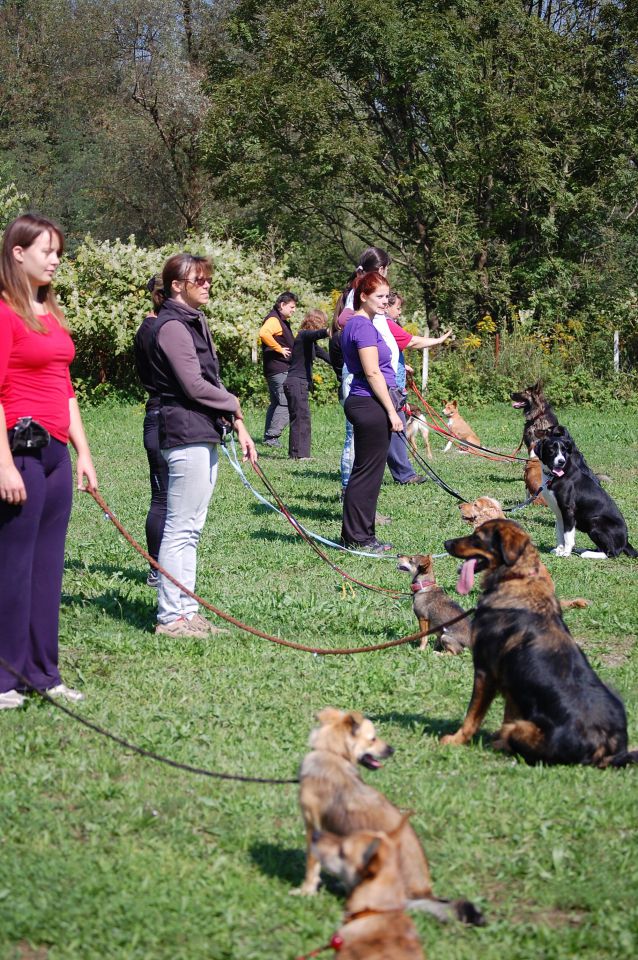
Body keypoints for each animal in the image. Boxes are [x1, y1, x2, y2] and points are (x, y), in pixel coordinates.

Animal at [296, 708, 484, 928]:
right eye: (373, 739)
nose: (392, 750)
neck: (331, 754)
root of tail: (424, 894)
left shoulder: (313, 826)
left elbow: (311, 866)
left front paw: (305, 891)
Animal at [442, 520, 636, 768]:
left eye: (477, 537)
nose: (446, 543)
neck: (516, 577)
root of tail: (607, 750)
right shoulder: (512, 682)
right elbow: (507, 713)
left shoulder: (485, 672)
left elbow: (472, 716)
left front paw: (455, 740)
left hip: (523, 727)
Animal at [536, 430, 636, 564]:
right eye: (551, 450)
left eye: (564, 450)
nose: (561, 461)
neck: (554, 476)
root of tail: (625, 542)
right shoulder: (559, 513)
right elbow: (560, 533)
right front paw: (559, 550)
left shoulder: (568, 511)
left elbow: (568, 535)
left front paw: (566, 553)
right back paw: (582, 550)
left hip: (595, 521)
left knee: (611, 553)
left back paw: (586, 553)